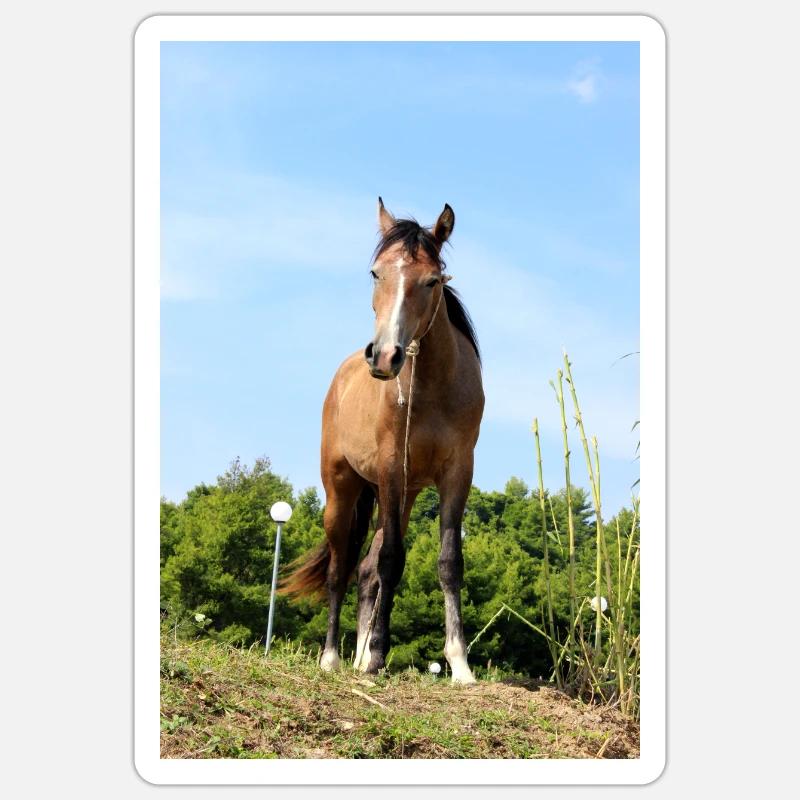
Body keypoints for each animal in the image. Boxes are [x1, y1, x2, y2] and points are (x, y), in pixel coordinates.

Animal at [280, 198, 483, 684]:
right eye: (376, 273)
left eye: (432, 280)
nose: (385, 356)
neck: (431, 388)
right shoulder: (392, 468)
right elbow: (392, 561)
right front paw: (375, 659)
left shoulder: (457, 472)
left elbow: (448, 562)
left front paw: (459, 663)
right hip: (343, 491)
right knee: (341, 570)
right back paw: (334, 658)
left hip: (403, 495)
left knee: (366, 570)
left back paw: (356, 655)